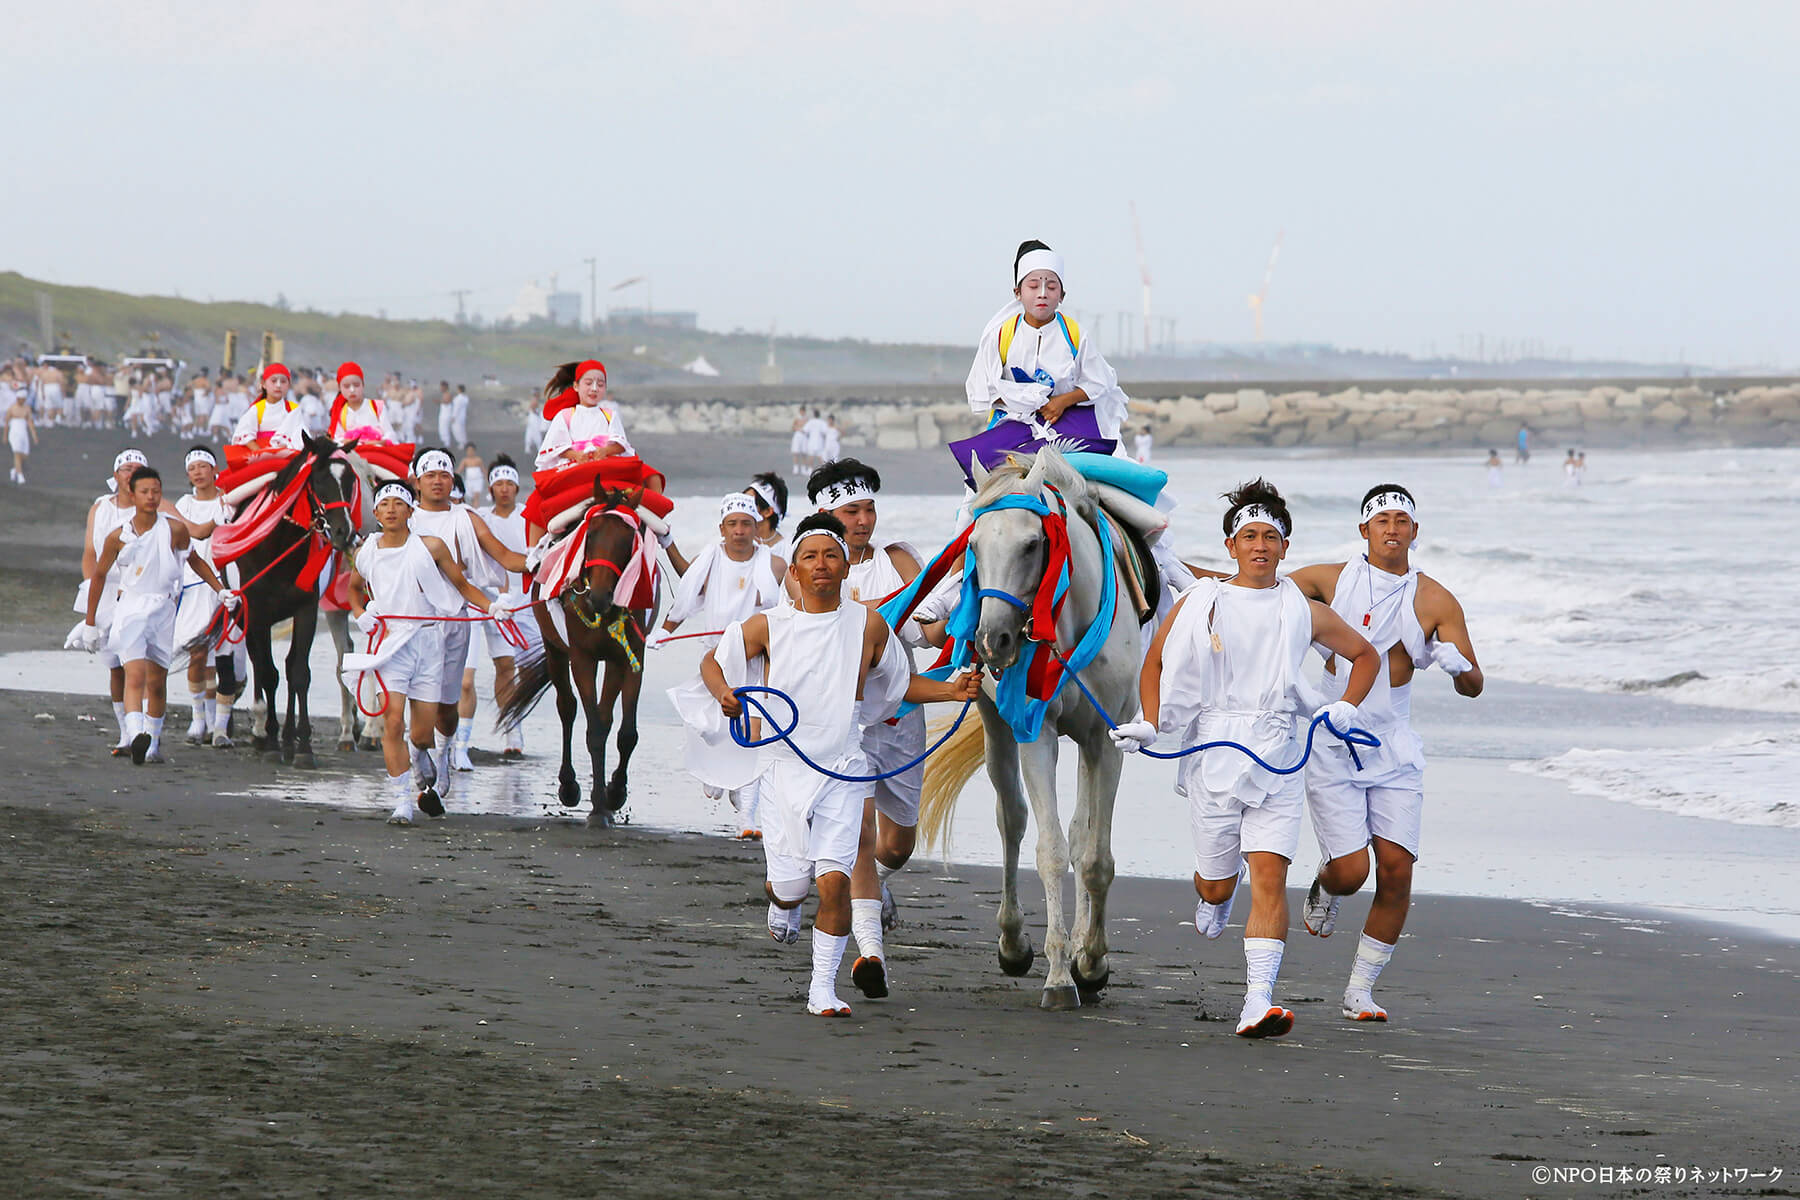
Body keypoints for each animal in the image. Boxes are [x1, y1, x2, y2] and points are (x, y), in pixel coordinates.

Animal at [496, 489, 651, 827]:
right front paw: (597, 810)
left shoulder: (629, 656)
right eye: (589, 535)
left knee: (605, 716)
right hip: (555, 649)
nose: (600, 596)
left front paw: (614, 793)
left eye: (628, 538)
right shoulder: (582, 657)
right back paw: (568, 785)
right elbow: (593, 730)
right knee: (567, 707)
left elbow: (625, 732)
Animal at [921, 449, 1130, 1014]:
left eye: (1033, 544)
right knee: (1012, 821)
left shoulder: (1106, 738)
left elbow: (1094, 856)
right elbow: (1051, 850)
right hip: (996, 725)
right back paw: (1013, 943)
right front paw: (1058, 975)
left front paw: (1091, 962)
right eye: (972, 546)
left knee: (1081, 833)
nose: (992, 639)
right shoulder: (1036, 732)